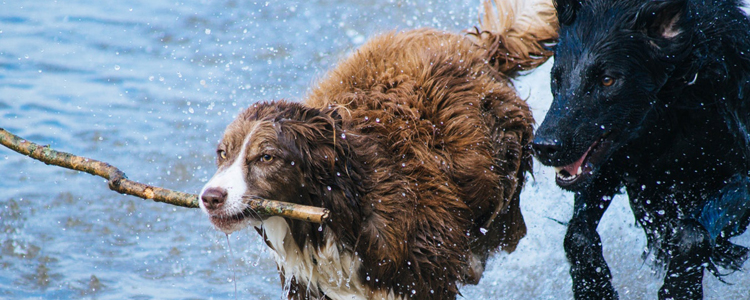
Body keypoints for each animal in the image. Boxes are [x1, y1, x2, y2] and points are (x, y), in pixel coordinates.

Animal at [200, 1, 560, 298]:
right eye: (222, 153)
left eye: (266, 157)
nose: (210, 197)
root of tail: (480, 49)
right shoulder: (309, 283)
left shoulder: (423, 275)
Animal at [532, 0, 750, 298]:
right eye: (557, 77)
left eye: (607, 80)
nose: (544, 146)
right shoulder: (611, 164)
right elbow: (577, 234)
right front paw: (594, 287)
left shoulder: (742, 176)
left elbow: (692, 233)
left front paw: (679, 288)